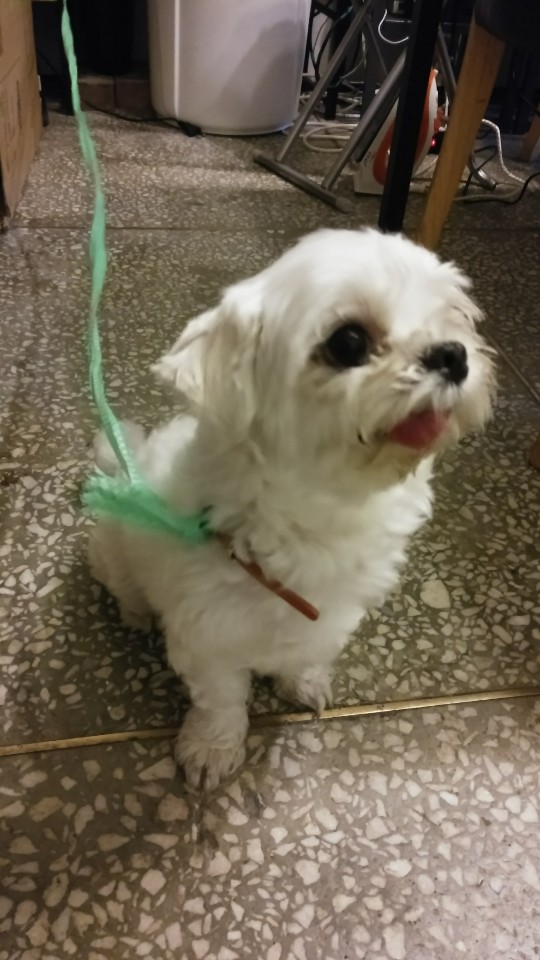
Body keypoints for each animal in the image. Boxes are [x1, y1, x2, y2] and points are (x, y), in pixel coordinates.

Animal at [88, 228, 495, 789]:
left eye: (453, 317)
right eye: (349, 342)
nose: (452, 354)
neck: (313, 518)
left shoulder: (327, 620)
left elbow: (305, 655)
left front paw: (301, 683)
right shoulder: (207, 637)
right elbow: (220, 701)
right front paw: (212, 748)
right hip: (114, 551)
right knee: (125, 586)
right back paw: (136, 612)